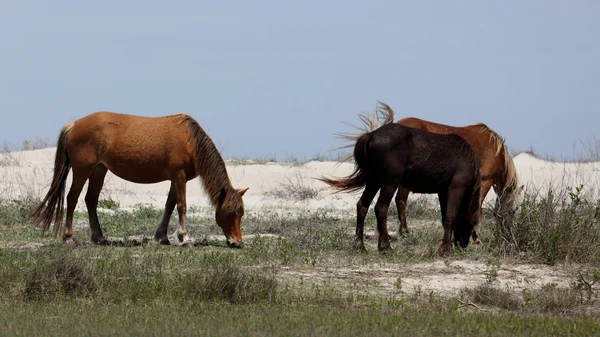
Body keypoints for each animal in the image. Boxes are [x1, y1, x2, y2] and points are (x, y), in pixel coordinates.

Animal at [29, 111, 246, 245]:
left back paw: (99, 237)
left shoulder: (175, 179)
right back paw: (68, 237)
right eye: (231, 213)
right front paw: (185, 238)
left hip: (99, 170)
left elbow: (169, 205)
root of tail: (73, 125)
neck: (190, 141)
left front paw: (161, 236)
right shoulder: (179, 176)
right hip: (82, 170)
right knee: (72, 199)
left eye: (241, 213)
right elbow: (181, 206)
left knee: (90, 200)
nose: (237, 242)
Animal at [322, 102, 480, 255]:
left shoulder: (443, 191)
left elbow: (444, 216)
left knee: (362, 206)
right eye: (471, 223)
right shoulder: (456, 188)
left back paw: (360, 246)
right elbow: (450, 216)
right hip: (389, 183)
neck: (468, 159)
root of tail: (372, 135)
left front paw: (444, 246)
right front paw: (446, 249)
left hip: (373, 182)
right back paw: (385, 247)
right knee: (381, 208)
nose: (463, 243)